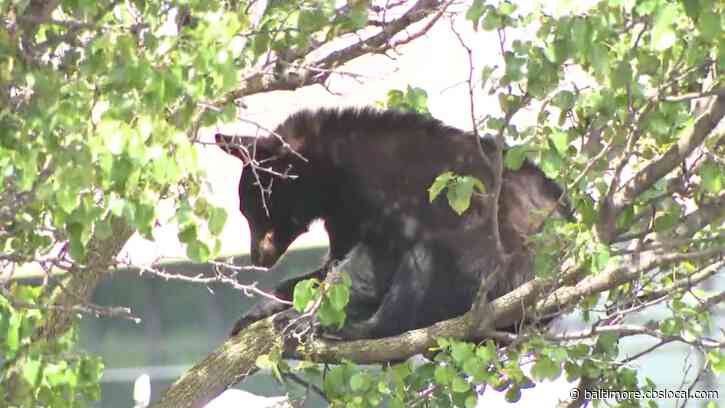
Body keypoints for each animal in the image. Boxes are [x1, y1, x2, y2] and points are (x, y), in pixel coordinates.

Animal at [216, 107, 569, 340]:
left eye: (254, 210)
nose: (257, 258)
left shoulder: (399, 200)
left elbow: (367, 263)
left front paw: (304, 316)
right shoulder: (345, 218)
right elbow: (327, 266)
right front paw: (259, 310)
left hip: (489, 255)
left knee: (421, 274)